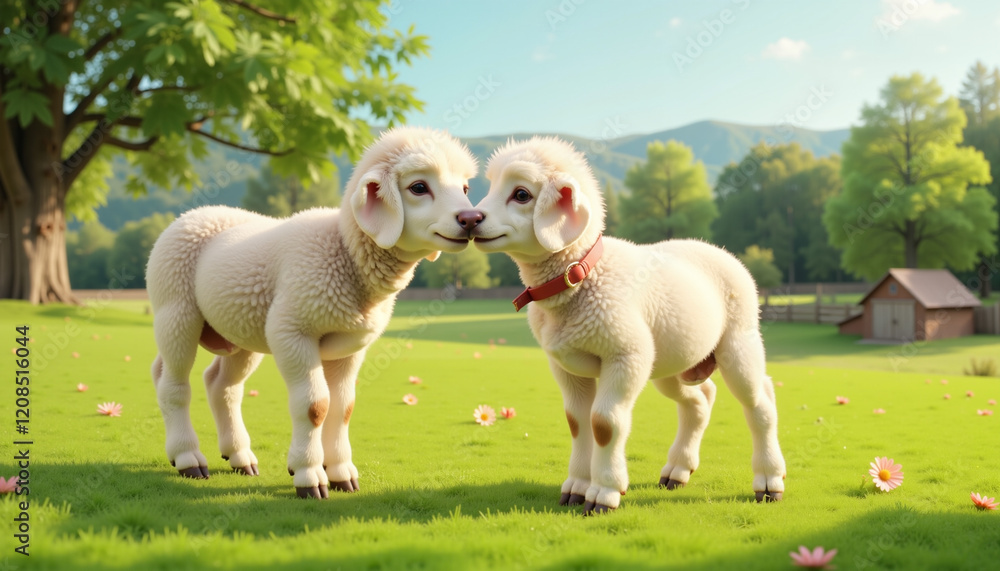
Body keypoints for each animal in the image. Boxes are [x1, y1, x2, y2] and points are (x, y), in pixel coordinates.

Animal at [146, 127, 480, 499]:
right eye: (419, 187)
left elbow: (343, 407)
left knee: (221, 385)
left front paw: (341, 473)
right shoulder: (292, 331)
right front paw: (309, 475)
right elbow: (315, 406)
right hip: (175, 309)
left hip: (241, 331)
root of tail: (194, 213)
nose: (471, 219)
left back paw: (239, 456)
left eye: (465, 189)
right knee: (173, 384)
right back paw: (188, 458)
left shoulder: (350, 346)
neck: (344, 250)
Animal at [468, 137, 786, 514]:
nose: (470, 219)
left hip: (738, 340)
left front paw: (603, 493)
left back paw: (769, 481)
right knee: (700, 400)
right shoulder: (567, 367)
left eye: (521, 194)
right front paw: (576, 488)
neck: (582, 274)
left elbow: (604, 423)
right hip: (670, 363)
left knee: (760, 402)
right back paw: (677, 471)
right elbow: (577, 422)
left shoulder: (625, 355)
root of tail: (720, 251)